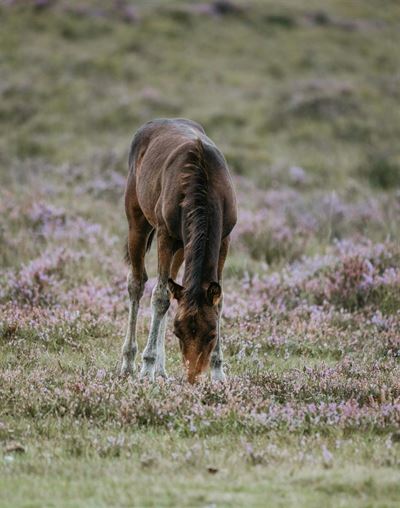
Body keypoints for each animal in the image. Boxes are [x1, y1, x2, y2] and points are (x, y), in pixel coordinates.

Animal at [119, 118, 238, 380]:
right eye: (178, 333)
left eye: (211, 335)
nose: (192, 376)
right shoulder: (165, 234)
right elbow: (160, 296)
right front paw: (147, 367)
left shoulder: (224, 238)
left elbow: (218, 301)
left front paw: (218, 372)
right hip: (138, 221)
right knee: (137, 283)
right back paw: (128, 363)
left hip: (183, 246)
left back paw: (162, 370)